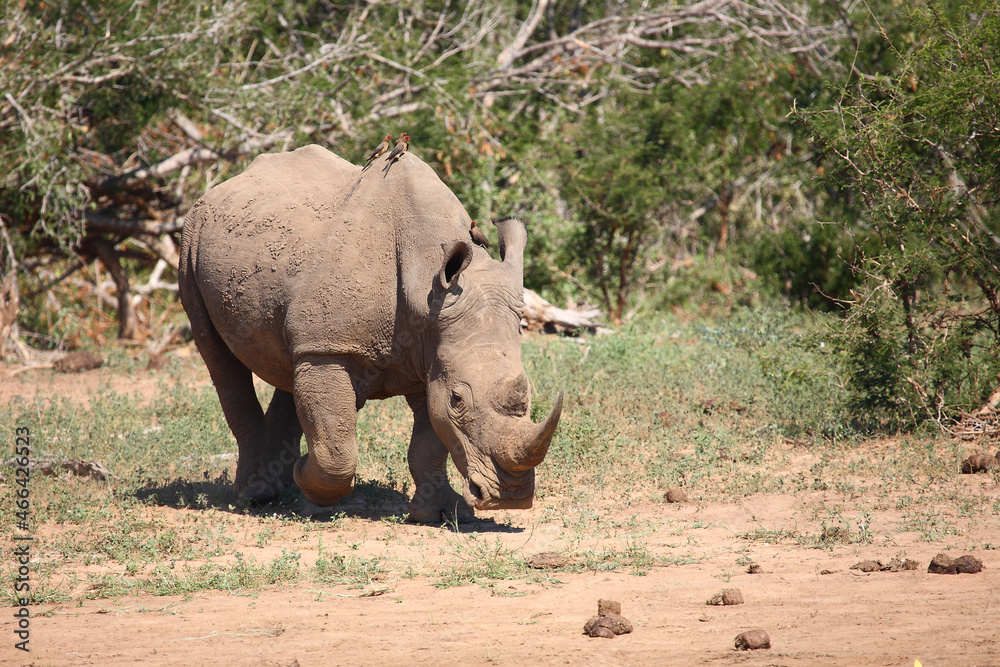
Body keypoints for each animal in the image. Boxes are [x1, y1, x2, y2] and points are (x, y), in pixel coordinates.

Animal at [178, 144, 563, 522]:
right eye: (458, 400)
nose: (511, 497)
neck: (425, 284)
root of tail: (228, 184)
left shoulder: (432, 349)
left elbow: (428, 444)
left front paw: (441, 513)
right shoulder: (334, 347)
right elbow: (337, 449)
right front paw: (313, 490)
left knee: (290, 358)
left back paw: (280, 490)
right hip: (191, 238)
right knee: (221, 361)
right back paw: (254, 498)